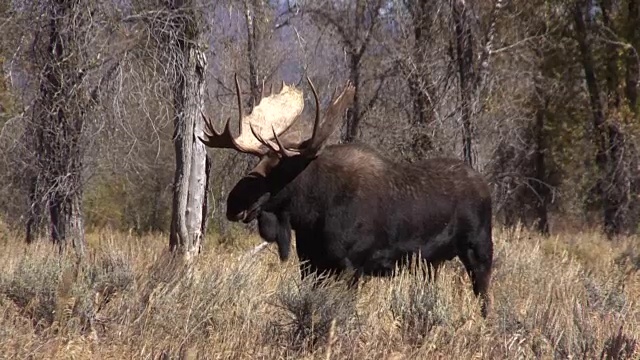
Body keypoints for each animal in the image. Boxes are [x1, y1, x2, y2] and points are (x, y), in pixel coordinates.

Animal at [200, 74, 496, 316]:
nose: (233, 203)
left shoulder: (351, 267)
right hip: (431, 263)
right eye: (259, 161)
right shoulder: (310, 264)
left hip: (478, 249)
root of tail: (485, 185)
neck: (311, 215)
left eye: (283, 168)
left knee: (484, 298)